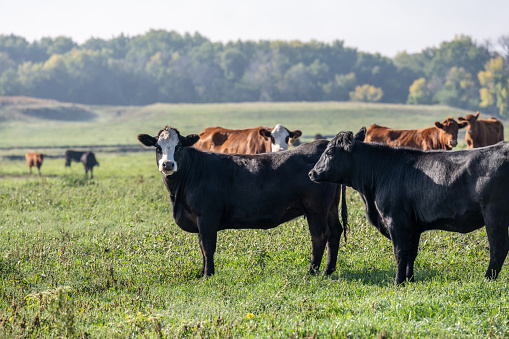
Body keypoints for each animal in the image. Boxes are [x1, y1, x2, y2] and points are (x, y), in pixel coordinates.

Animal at [137, 126, 348, 278]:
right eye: (158, 148)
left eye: (179, 147)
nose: (168, 164)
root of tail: (322, 144)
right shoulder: (198, 220)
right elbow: (202, 247)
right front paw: (202, 272)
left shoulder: (207, 217)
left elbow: (208, 246)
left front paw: (208, 275)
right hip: (330, 207)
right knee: (335, 232)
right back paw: (328, 270)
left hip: (316, 209)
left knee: (320, 236)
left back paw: (312, 271)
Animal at [308, 127, 508, 286]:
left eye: (330, 152)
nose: (311, 173)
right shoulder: (413, 226)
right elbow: (411, 253)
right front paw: (410, 280)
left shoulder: (396, 221)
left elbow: (400, 253)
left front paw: (398, 282)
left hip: (494, 215)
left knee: (498, 249)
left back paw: (487, 279)